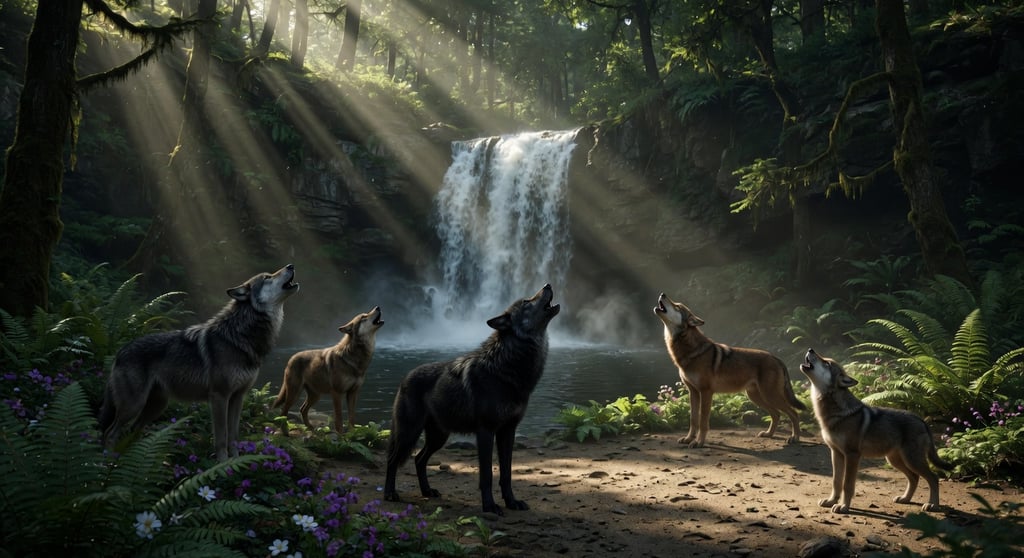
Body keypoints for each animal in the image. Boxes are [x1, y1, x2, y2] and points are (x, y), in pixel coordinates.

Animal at [99, 264, 299, 461]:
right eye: (267, 277)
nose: (291, 265)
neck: (239, 336)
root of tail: (119, 352)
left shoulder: (238, 397)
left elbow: (233, 436)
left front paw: (235, 462)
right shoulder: (219, 396)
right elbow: (221, 437)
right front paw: (223, 465)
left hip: (156, 407)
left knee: (131, 431)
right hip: (134, 405)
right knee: (110, 433)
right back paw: (109, 461)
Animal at [273, 306, 384, 435]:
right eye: (363, 317)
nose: (378, 307)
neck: (355, 358)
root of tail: (291, 358)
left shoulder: (353, 393)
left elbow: (351, 417)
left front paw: (352, 434)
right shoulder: (336, 393)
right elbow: (339, 417)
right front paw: (341, 435)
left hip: (315, 395)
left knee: (302, 409)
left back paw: (311, 429)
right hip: (295, 393)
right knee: (283, 411)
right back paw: (285, 432)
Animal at [383, 284, 560, 515]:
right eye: (526, 302)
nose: (548, 285)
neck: (507, 368)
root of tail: (405, 377)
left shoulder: (508, 431)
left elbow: (506, 474)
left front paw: (512, 502)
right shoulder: (486, 431)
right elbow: (487, 475)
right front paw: (489, 506)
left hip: (438, 437)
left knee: (419, 459)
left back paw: (427, 491)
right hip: (409, 433)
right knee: (392, 459)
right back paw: (389, 493)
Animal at [654, 293, 804, 448]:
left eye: (677, 306)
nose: (662, 294)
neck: (690, 350)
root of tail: (777, 358)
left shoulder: (706, 392)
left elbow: (703, 422)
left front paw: (699, 442)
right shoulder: (693, 392)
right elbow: (693, 420)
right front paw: (689, 439)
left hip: (770, 396)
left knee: (794, 413)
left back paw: (795, 438)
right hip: (757, 397)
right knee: (776, 414)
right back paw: (769, 434)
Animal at [799, 348, 952, 513]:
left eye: (826, 363)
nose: (810, 349)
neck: (837, 413)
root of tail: (922, 420)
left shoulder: (852, 455)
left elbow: (847, 485)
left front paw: (843, 506)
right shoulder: (836, 453)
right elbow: (836, 482)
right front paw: (831, 501)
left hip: (911, 460)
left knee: (933, 478)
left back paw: (933, 505)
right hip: (895, 460)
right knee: (914, 477)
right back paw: (905, 499)